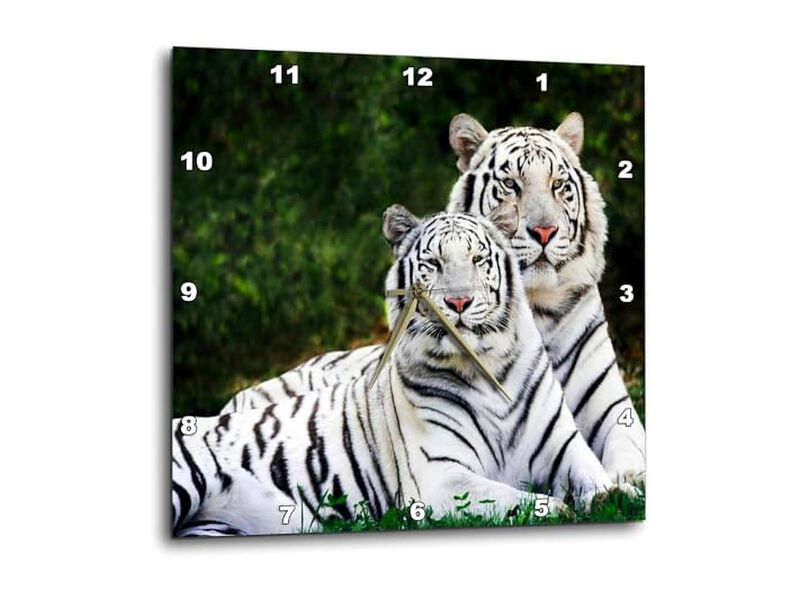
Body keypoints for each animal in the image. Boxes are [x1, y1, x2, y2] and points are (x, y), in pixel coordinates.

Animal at [174, 206, 614, 536]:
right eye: (433, 264)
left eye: (478, 260)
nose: (458, 302)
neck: (487, 368)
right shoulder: (439, 478)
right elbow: (514, 499)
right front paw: (559, 509)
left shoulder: (565, 447)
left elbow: (597, 477)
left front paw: (611, 495)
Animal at [222, 113, 645, 485]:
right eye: (511, 185)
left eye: (559, 185)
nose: (544, 231)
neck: (536, 307)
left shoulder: (613, 409)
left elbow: (628, 450)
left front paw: (625, 480)